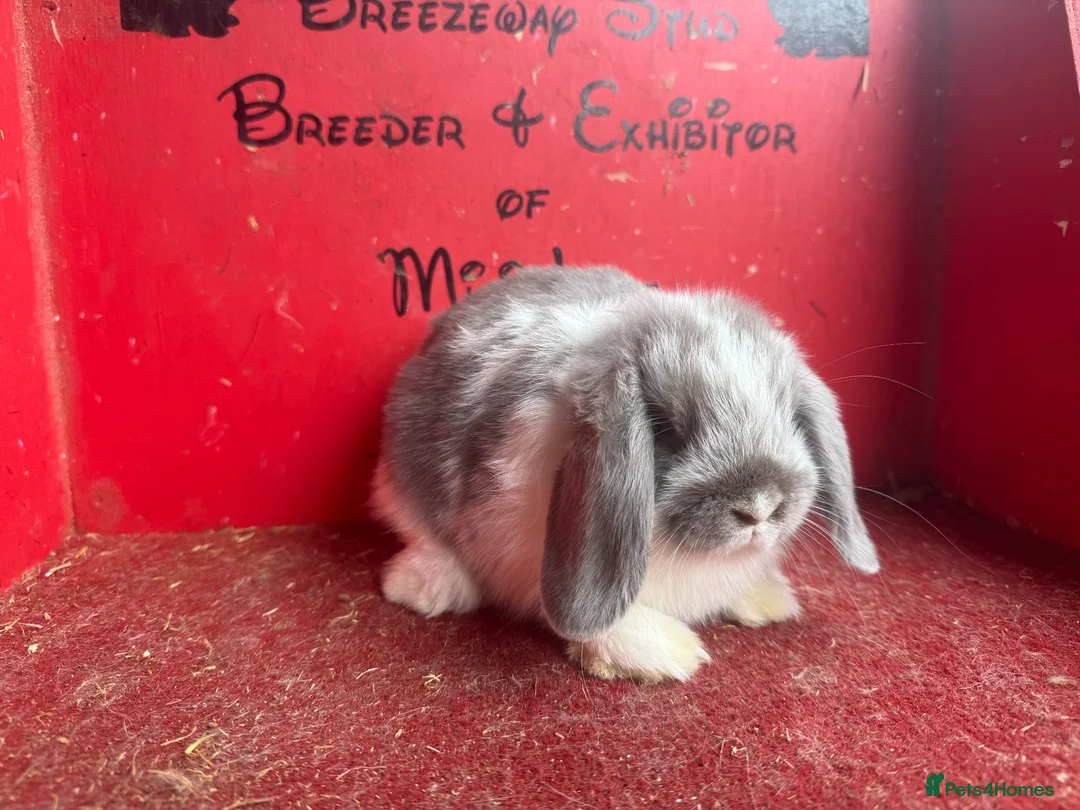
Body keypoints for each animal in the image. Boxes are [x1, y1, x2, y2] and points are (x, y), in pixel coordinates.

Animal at [371, 266, 880, 683]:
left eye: (791, 418)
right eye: (666, 430)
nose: (760, 506)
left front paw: (767, 600)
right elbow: (602, 623)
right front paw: (668, 653)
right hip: (405, 477)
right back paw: (426, 587)